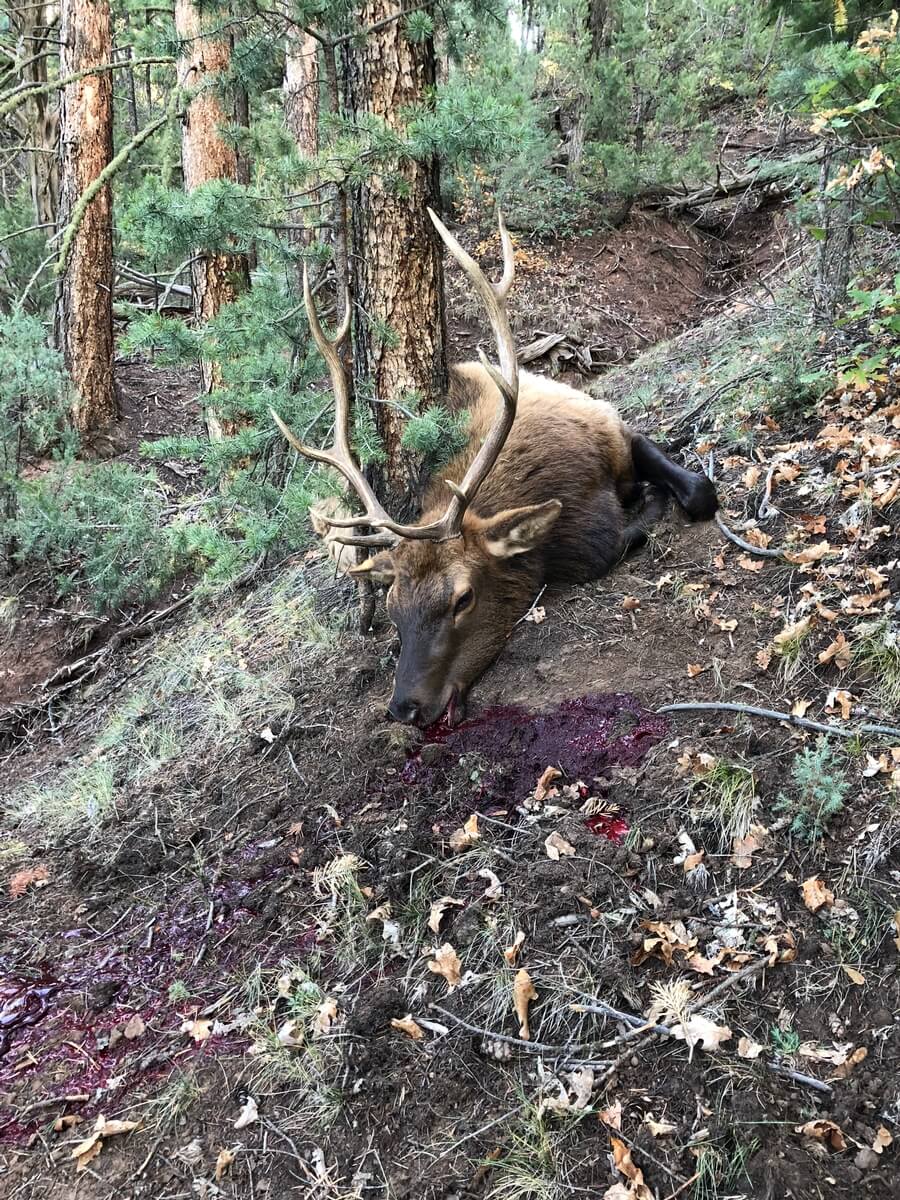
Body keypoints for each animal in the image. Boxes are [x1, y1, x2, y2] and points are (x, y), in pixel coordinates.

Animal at [271, 211, 717, 728]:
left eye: (463, 598)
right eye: (394, 608)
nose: (404, 708)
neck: (575, 486)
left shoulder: (613, 428)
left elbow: (693, 492)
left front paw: (655, 495)